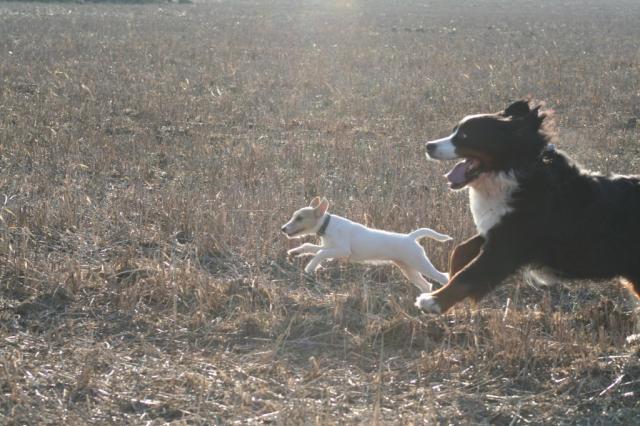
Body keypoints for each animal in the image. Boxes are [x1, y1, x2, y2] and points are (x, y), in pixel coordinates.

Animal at [280, 197, 450, 292]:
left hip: (420, 264)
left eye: (300, 218)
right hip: (408, 269)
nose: (283, 229)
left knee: (443, 277)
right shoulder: (330, 247)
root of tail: (411, 237)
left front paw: (310, 267)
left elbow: (320, 254)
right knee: (426, 285)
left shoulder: (342, 250)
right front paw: (295, 252)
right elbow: (309, 246)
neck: (327, 226)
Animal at [416, 99, 640, 312]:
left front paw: (433, 301)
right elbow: (461, 250)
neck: (514, 172)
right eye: (455, 131)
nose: (429, 145)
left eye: (465, 136)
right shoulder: (497, 226)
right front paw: (448, 274)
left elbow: (469, 274)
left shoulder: (509, 243)